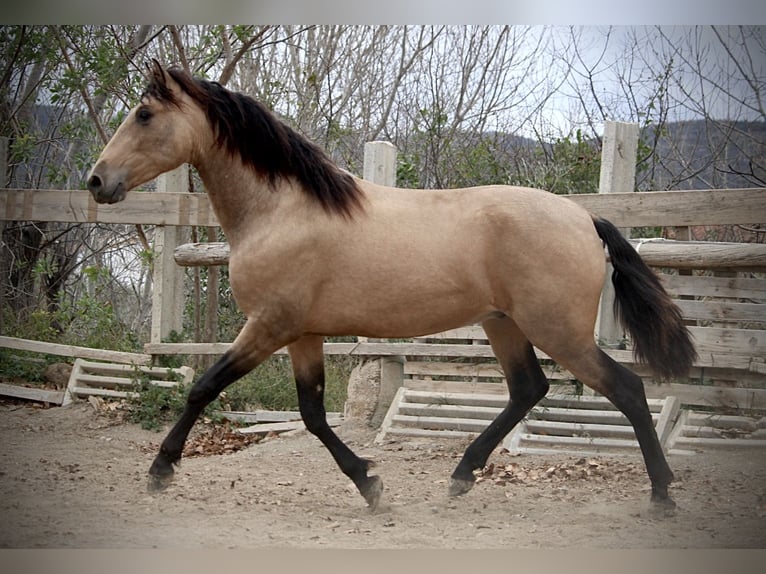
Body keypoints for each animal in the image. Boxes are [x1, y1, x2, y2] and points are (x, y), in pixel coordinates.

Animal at [87, 62, 700, 512]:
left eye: (144, 114)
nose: (97, 181)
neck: (280, 212)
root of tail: (583, 218)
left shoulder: (268, 326)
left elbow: (203, 387)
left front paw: (161, 470)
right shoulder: (303, 334)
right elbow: (312, 414)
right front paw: (370, 484)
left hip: (559, 331)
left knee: (627, 390)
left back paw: (663, 495)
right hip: (504, 324)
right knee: (529, 389)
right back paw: (462, 475)